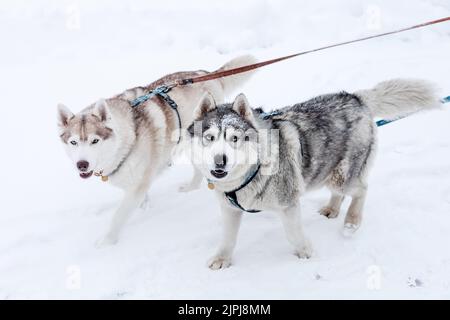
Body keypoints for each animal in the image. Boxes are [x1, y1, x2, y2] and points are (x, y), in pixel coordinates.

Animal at [56, 55, 256, 246]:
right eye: (73, 142)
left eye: (95, 141)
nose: (82, 165)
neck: (128, 138)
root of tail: (205, 73)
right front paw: (144, 207)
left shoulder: (136, 186)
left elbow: (119, 216)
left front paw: (107, 241)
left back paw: (192, 188)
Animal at [187, 79, 440, 268]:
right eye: (210, 137)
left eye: (235, 138)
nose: (220, 161)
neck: (250, 174)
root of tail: (356, 98)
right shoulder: (230, 209)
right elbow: (227, 239)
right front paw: (222, 259)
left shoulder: (288, 204)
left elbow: (294, 234)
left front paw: (306, 254)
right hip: (329, 172)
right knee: (342, 193)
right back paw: (332, 209)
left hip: (343, 178)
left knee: (362, 189)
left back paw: (352, 221)